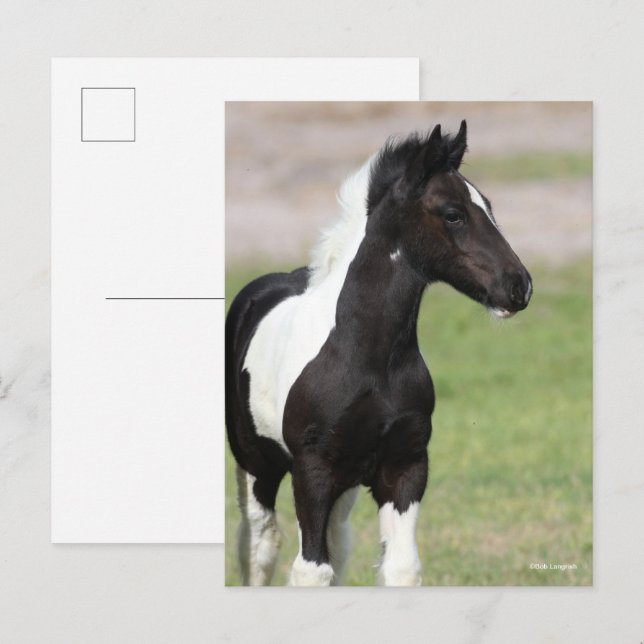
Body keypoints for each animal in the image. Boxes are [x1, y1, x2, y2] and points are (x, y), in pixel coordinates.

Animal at [225, 121, 532, 586]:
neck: (367, 359)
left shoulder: (405, 467)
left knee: (338, 543)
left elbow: (399, 567)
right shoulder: (312, 471)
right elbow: (310, 570)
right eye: (453, 214)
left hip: (345, 482)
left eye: (490, 207)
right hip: (258, 465)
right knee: (258, 546)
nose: (519, 287)